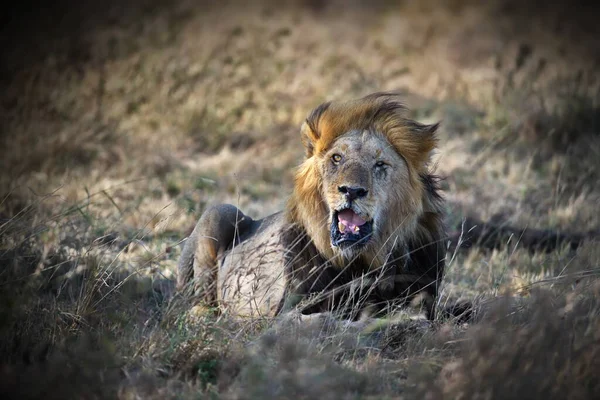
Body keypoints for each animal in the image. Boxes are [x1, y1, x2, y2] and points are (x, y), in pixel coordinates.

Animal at [177, 92, 446, 320]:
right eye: (337, 158)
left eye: (380, 164)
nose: (352, 191)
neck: (360, 262)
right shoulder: (289, 309)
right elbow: (322, 319)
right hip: (219, 211)